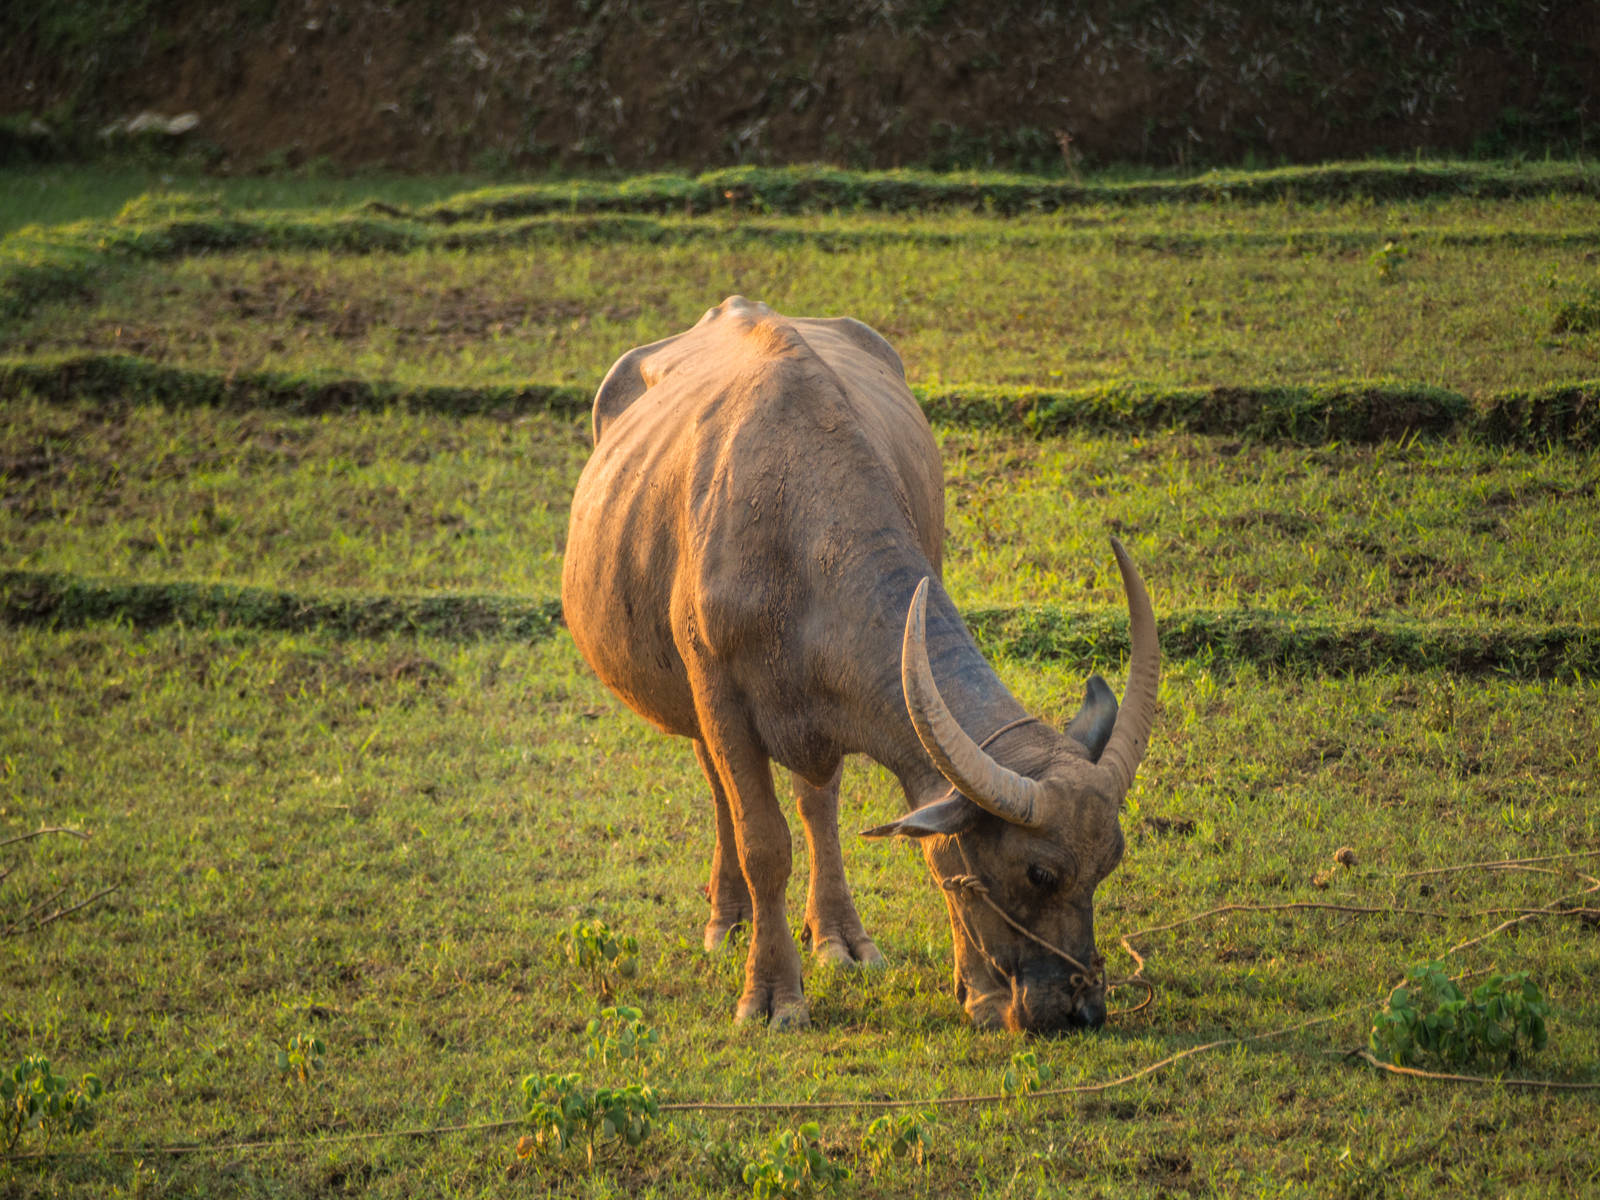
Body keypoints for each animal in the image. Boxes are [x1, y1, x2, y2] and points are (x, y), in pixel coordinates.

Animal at [556, 300, 1158, 1036]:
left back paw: (837, 934)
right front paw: (772, 995)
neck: (797, 531)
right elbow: (764, 842)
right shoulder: (719, 696)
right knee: (718, 786)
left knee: (818, 802)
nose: (1081, 1008)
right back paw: (728, 917)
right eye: (1038, 873)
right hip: (685, 695)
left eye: (1110, 861)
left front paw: (978, 990)